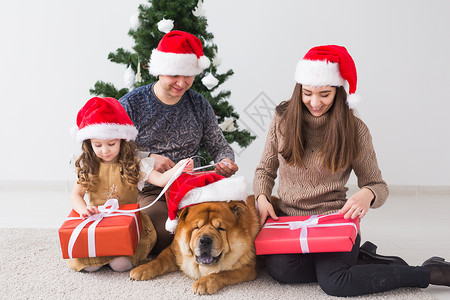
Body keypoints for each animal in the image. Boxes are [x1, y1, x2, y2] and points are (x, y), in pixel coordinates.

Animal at [128, 198, 258, 294]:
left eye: (221, 228)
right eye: (196, 227)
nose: (205, 240)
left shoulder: (248, 267)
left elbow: (222, 273)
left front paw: (204, 283)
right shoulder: (174, 252)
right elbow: (159, 261)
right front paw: (141, 269)